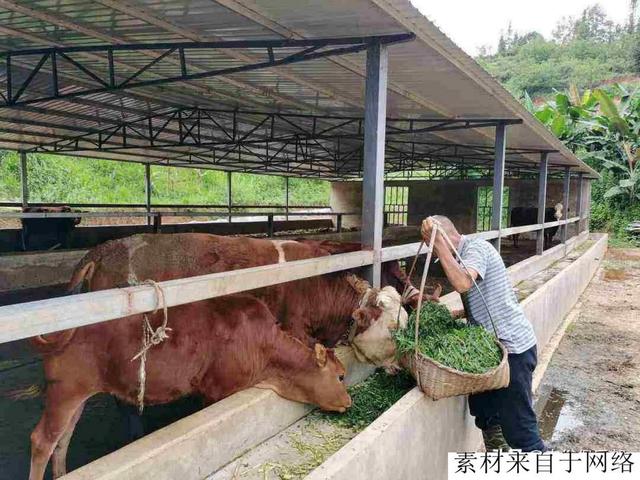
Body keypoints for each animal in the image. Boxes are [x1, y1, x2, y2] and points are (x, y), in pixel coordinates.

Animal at [28, 288, 350, 480]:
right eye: (340, 375)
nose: (349, 402)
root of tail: (65, 329)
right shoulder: (217, 390)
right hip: (65, 390)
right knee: (42, 440)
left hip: (77, 396)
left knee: (63, 439)